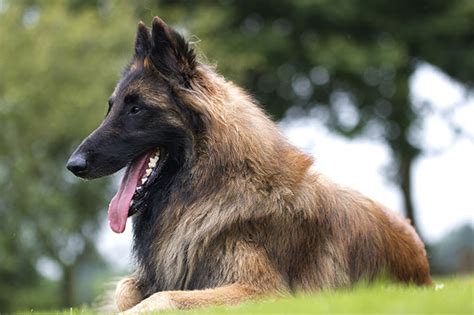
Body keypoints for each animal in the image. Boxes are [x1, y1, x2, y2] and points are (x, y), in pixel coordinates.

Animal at [66, 16, 434, 314]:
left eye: (136, 108)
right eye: (111, 107)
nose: (73, 165)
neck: (211, 186)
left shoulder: (263, 291)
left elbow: (164, 298)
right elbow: (125, 290)